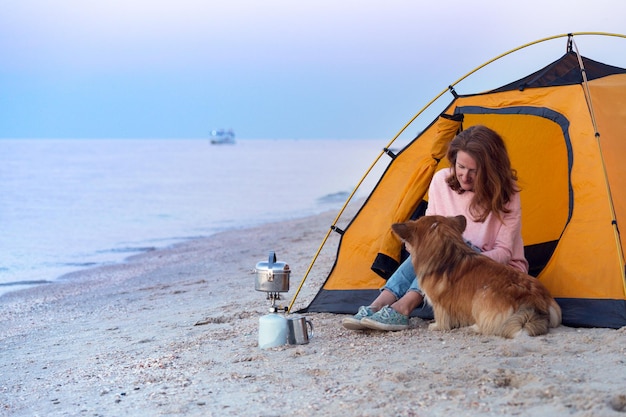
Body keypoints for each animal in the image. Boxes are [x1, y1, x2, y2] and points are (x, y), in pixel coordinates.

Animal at [390, 214, 560, 338]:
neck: (448, 254)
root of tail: (533, 299)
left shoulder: (440, 304)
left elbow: (442, 317)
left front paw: (436, 326)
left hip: (480, 298)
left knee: (489, 326)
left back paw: (473, 328)